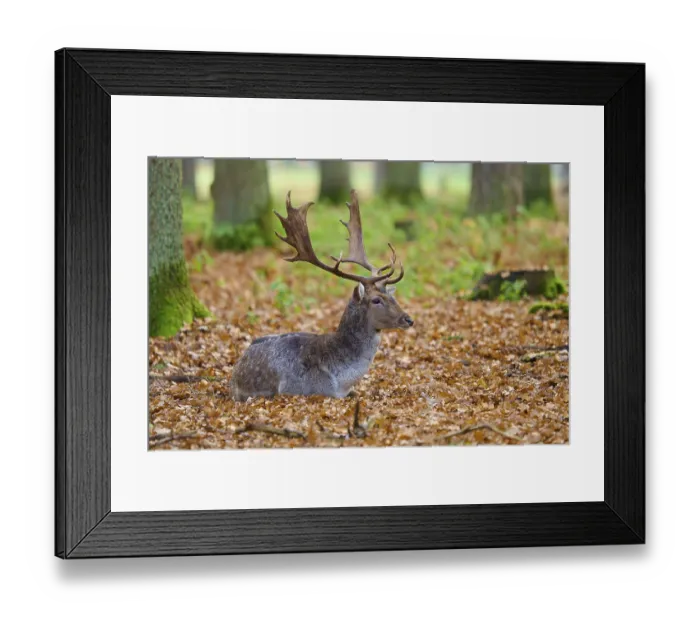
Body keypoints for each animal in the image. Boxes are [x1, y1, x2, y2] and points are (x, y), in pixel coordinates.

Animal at [230, 189, 414, 402]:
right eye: (376, 300)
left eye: (393, 297)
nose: (408, 319)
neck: (340, 381)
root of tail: (236, 371)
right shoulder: (302, 388)